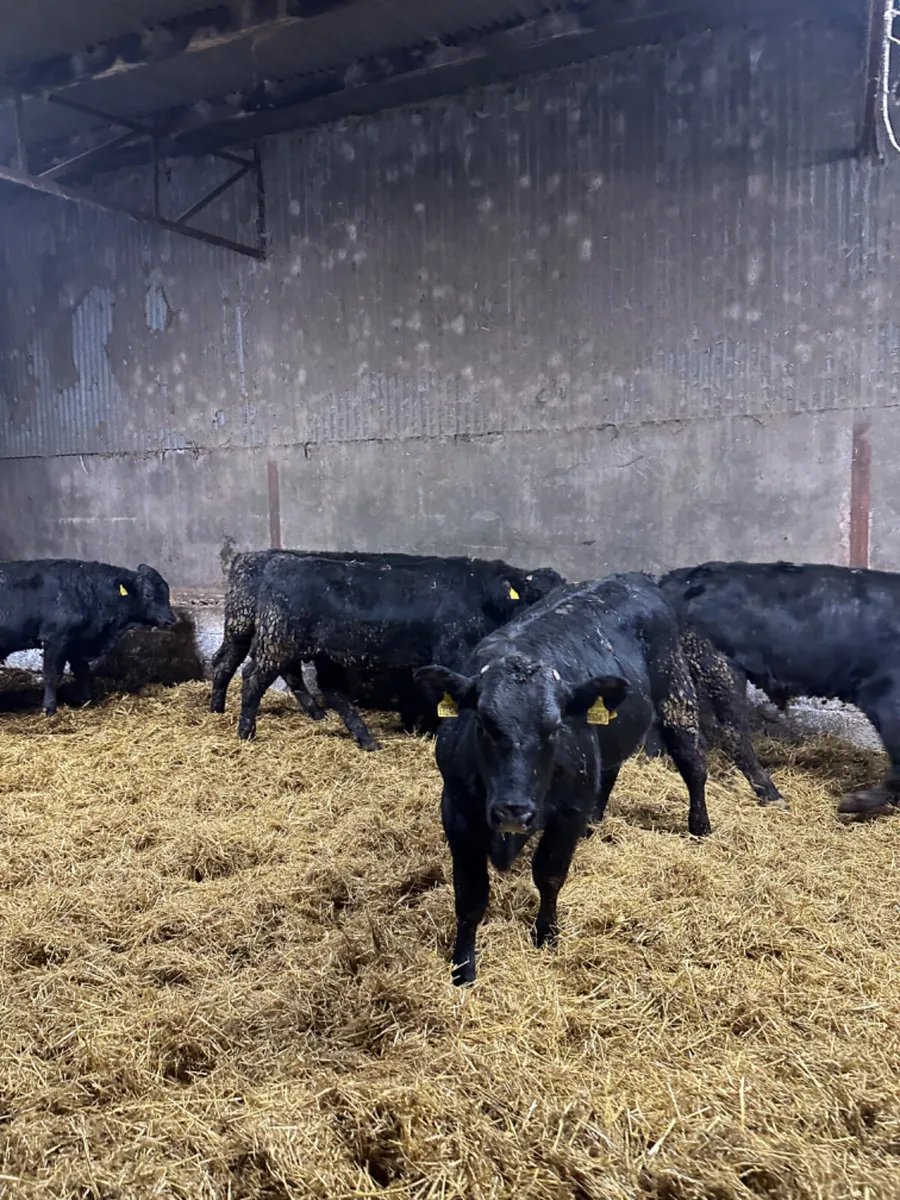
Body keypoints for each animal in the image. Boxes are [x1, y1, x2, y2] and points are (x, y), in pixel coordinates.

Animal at [0, 560, 177, 716]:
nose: (171, 620)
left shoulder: (76, 642)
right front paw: (49, 709)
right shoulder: (55, 639)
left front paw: (87, 700)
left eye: (167, 591)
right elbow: (52, 675)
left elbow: (83, 672)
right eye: (148, 594)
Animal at [236, 553, 563, 748]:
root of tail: (282, 561)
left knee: (334, 691)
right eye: (538, 594)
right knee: (252, 678)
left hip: (325, 654)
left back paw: (366, 739)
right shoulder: (452, 653)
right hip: (277, 644)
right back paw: (246, 732)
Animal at [414, 573, 711, 985]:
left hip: (676, 695)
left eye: (554, 727)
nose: (513, 811)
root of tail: (632, 578)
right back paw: (595, 821)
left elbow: (550, 875)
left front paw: (546, 934)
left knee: (693, 761)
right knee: (610, 770)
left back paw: (700, 826)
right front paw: (463, 966)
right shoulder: (456, 813)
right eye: (484, 723)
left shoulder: (567, 813)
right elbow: (470, 897)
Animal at [660, 560, 900, 817]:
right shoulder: (884, 697)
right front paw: (851, 803)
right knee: (733, 732)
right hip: (716, 662)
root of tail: (673, 579)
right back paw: (776, 798)